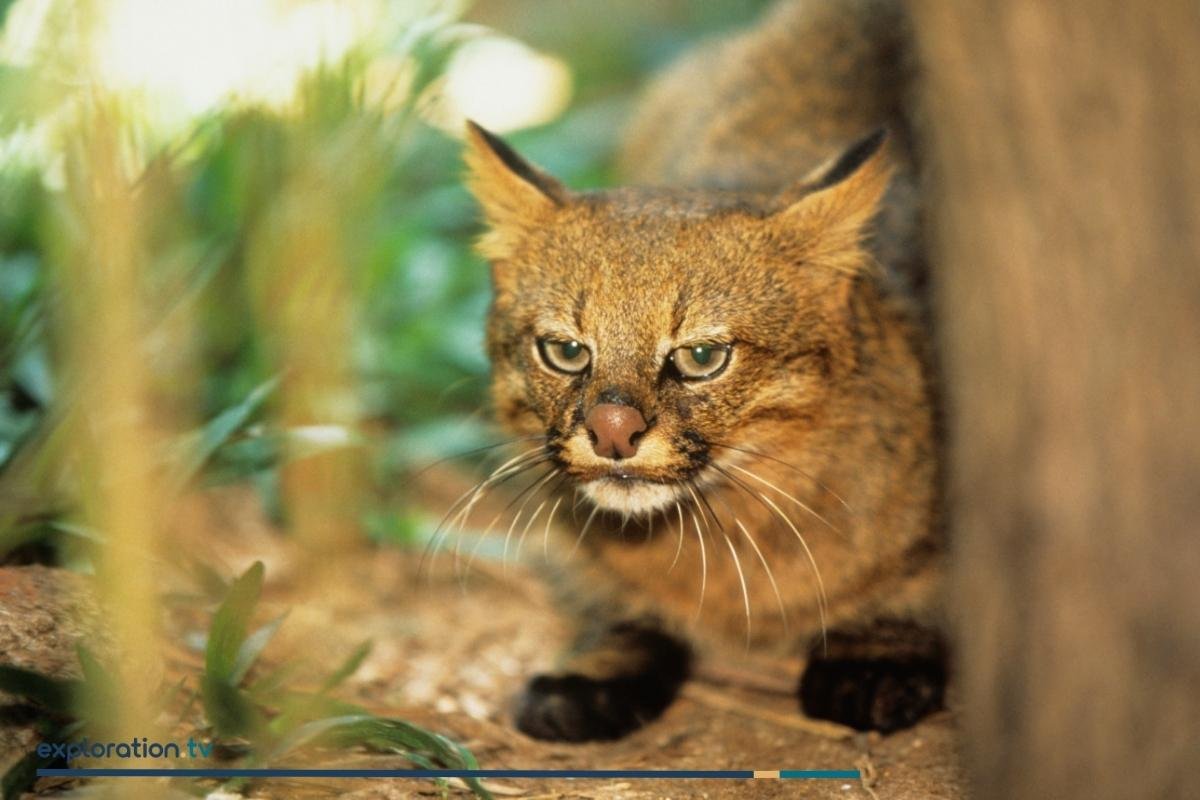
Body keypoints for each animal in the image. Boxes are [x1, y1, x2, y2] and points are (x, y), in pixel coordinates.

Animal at [453, 0, 940, 743]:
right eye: (565, 351)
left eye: (702, 358)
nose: (612, 431)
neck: (724, 529)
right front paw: (602, 659)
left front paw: (881, 645)